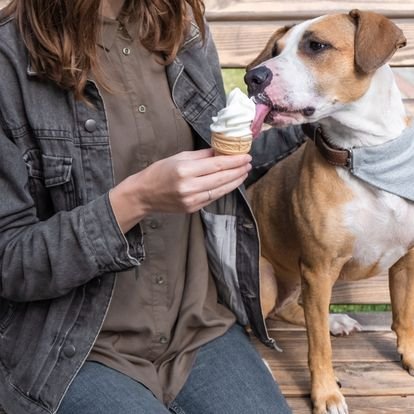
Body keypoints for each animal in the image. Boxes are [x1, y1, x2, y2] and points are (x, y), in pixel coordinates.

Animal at [246, 8, 410, 414]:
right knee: (253, 320)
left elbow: (404, 315)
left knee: (291, 309)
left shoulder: (406, 260)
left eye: (316, 46)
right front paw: (325, 394)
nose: (252, 76)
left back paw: (334, 320)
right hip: (266, 279)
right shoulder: (319, 269)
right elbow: (318, 345)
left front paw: (410, 355)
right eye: (275, 50)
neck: (363, 152)